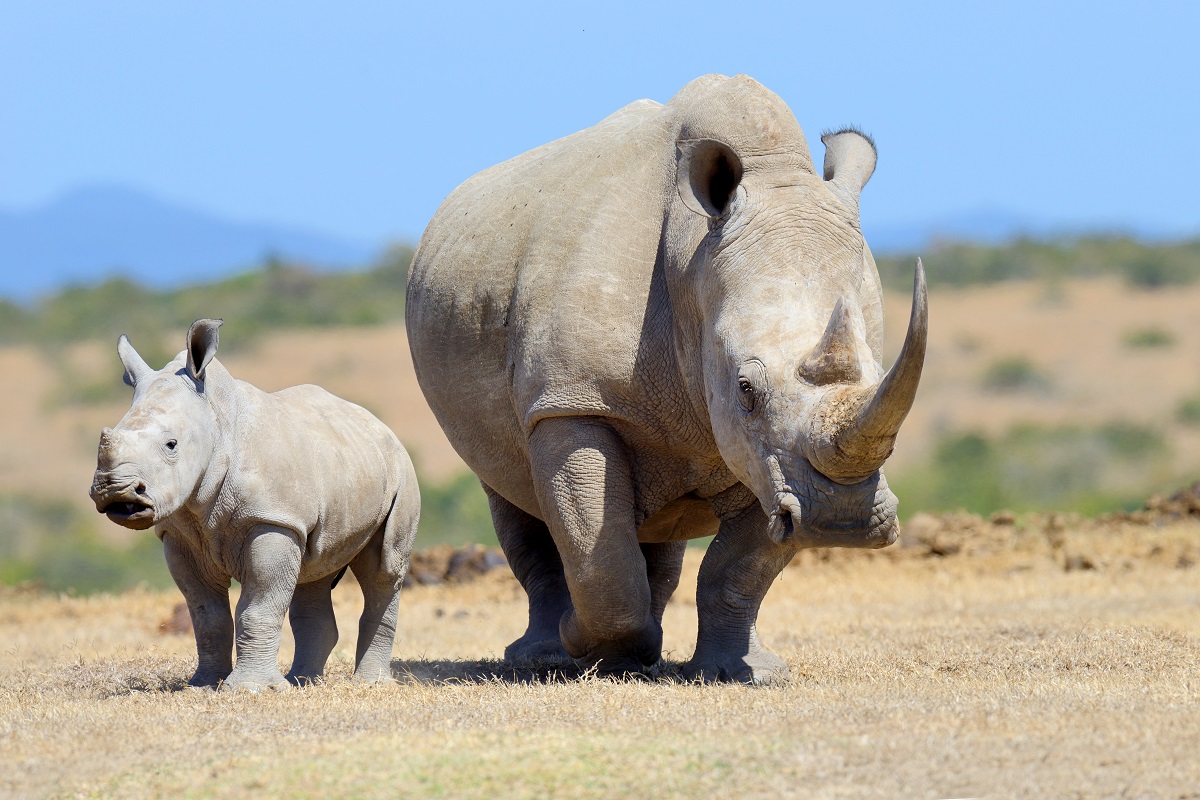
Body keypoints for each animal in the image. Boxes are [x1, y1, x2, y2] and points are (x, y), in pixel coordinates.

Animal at [88, 316, 417, 690]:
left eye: (171, 444)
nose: (117, 493)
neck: (216, 423)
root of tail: (380, 425)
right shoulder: (179, 534)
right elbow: (207, 616)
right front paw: (204, 684)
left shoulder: (272, 519)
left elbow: (257, 608)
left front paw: (249, 688)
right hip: (334, 472)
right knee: (314, 569)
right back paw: (302, 682)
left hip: (400, 471)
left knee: (383, 568)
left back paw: (369, 684)